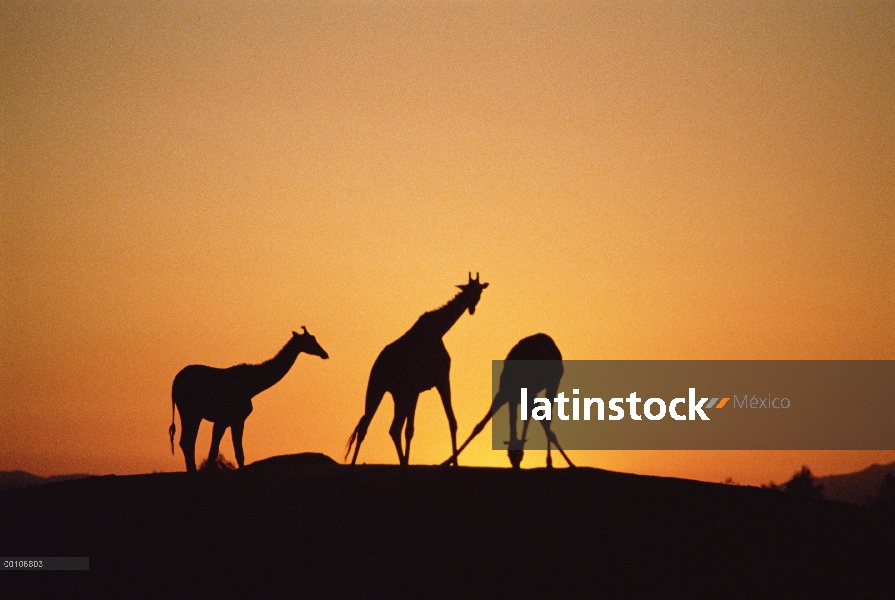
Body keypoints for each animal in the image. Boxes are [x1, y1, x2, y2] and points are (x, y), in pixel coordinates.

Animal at [169, 328, 328, 474]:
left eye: (314, 338)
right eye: (310, 341)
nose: (325, 354)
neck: (253, 386)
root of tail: (174, 384)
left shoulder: (231, 420)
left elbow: (233, 452)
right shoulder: (228, 419)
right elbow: (225, 452)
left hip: (190, 413)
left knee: (186, 441)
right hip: (190, 412)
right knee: (187, 441)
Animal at [346, 274, 490, 466]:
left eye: (479, 290)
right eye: (469, 289)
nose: (472, 306)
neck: (439, 330)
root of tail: (376, 364)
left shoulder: (424, 387)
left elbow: (424, 427)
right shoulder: (436, 381)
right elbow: (430, 425)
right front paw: (454, 463)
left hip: (398, 395)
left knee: (393, 428)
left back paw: (402, 462)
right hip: (377, 388)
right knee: (366, 427)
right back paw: (355, 463)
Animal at [440, 332, 576, 468]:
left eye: (520, 456)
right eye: (509, 455)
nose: (516, 466)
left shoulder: (528, 394)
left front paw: (571, 463)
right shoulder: (503, 394)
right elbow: (480, 425)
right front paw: (447, 461)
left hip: (554, 382)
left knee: (547, 418)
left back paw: (549, 462)